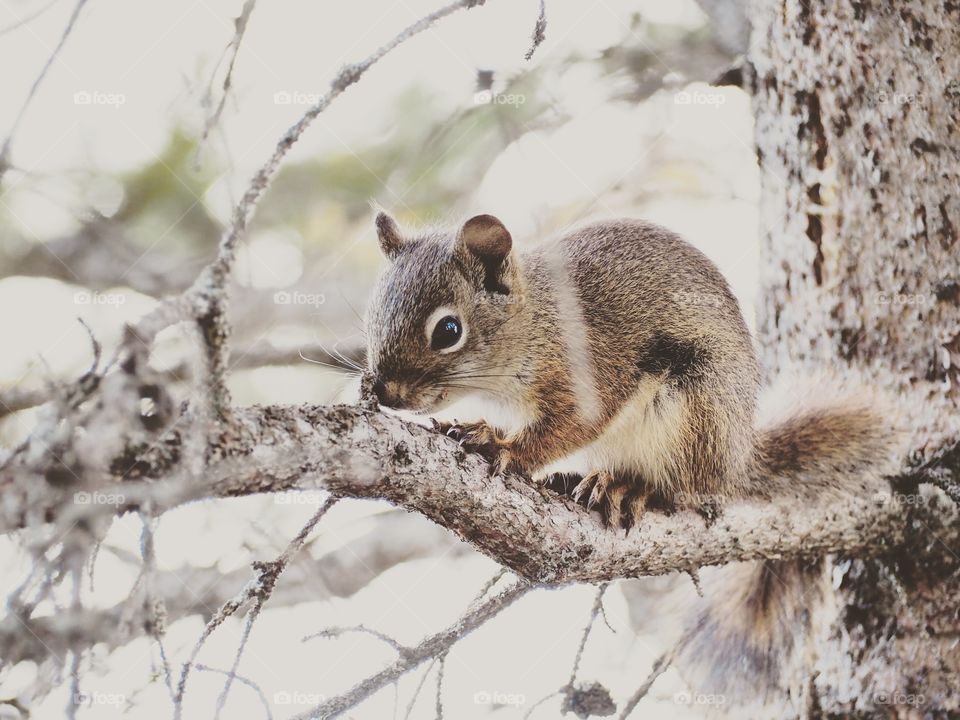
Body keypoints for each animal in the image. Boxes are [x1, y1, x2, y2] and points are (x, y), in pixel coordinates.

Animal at [364, 211, 903, 713]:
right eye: (371, 317)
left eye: (448, 330)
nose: (383, 392)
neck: (533, 322)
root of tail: (735, 461)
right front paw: (479, 428)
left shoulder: (590, 377)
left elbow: (568, 428)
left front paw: (507, 450)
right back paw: (579, 479)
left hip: (691, 411)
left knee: (682, 488)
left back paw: (631, 488)